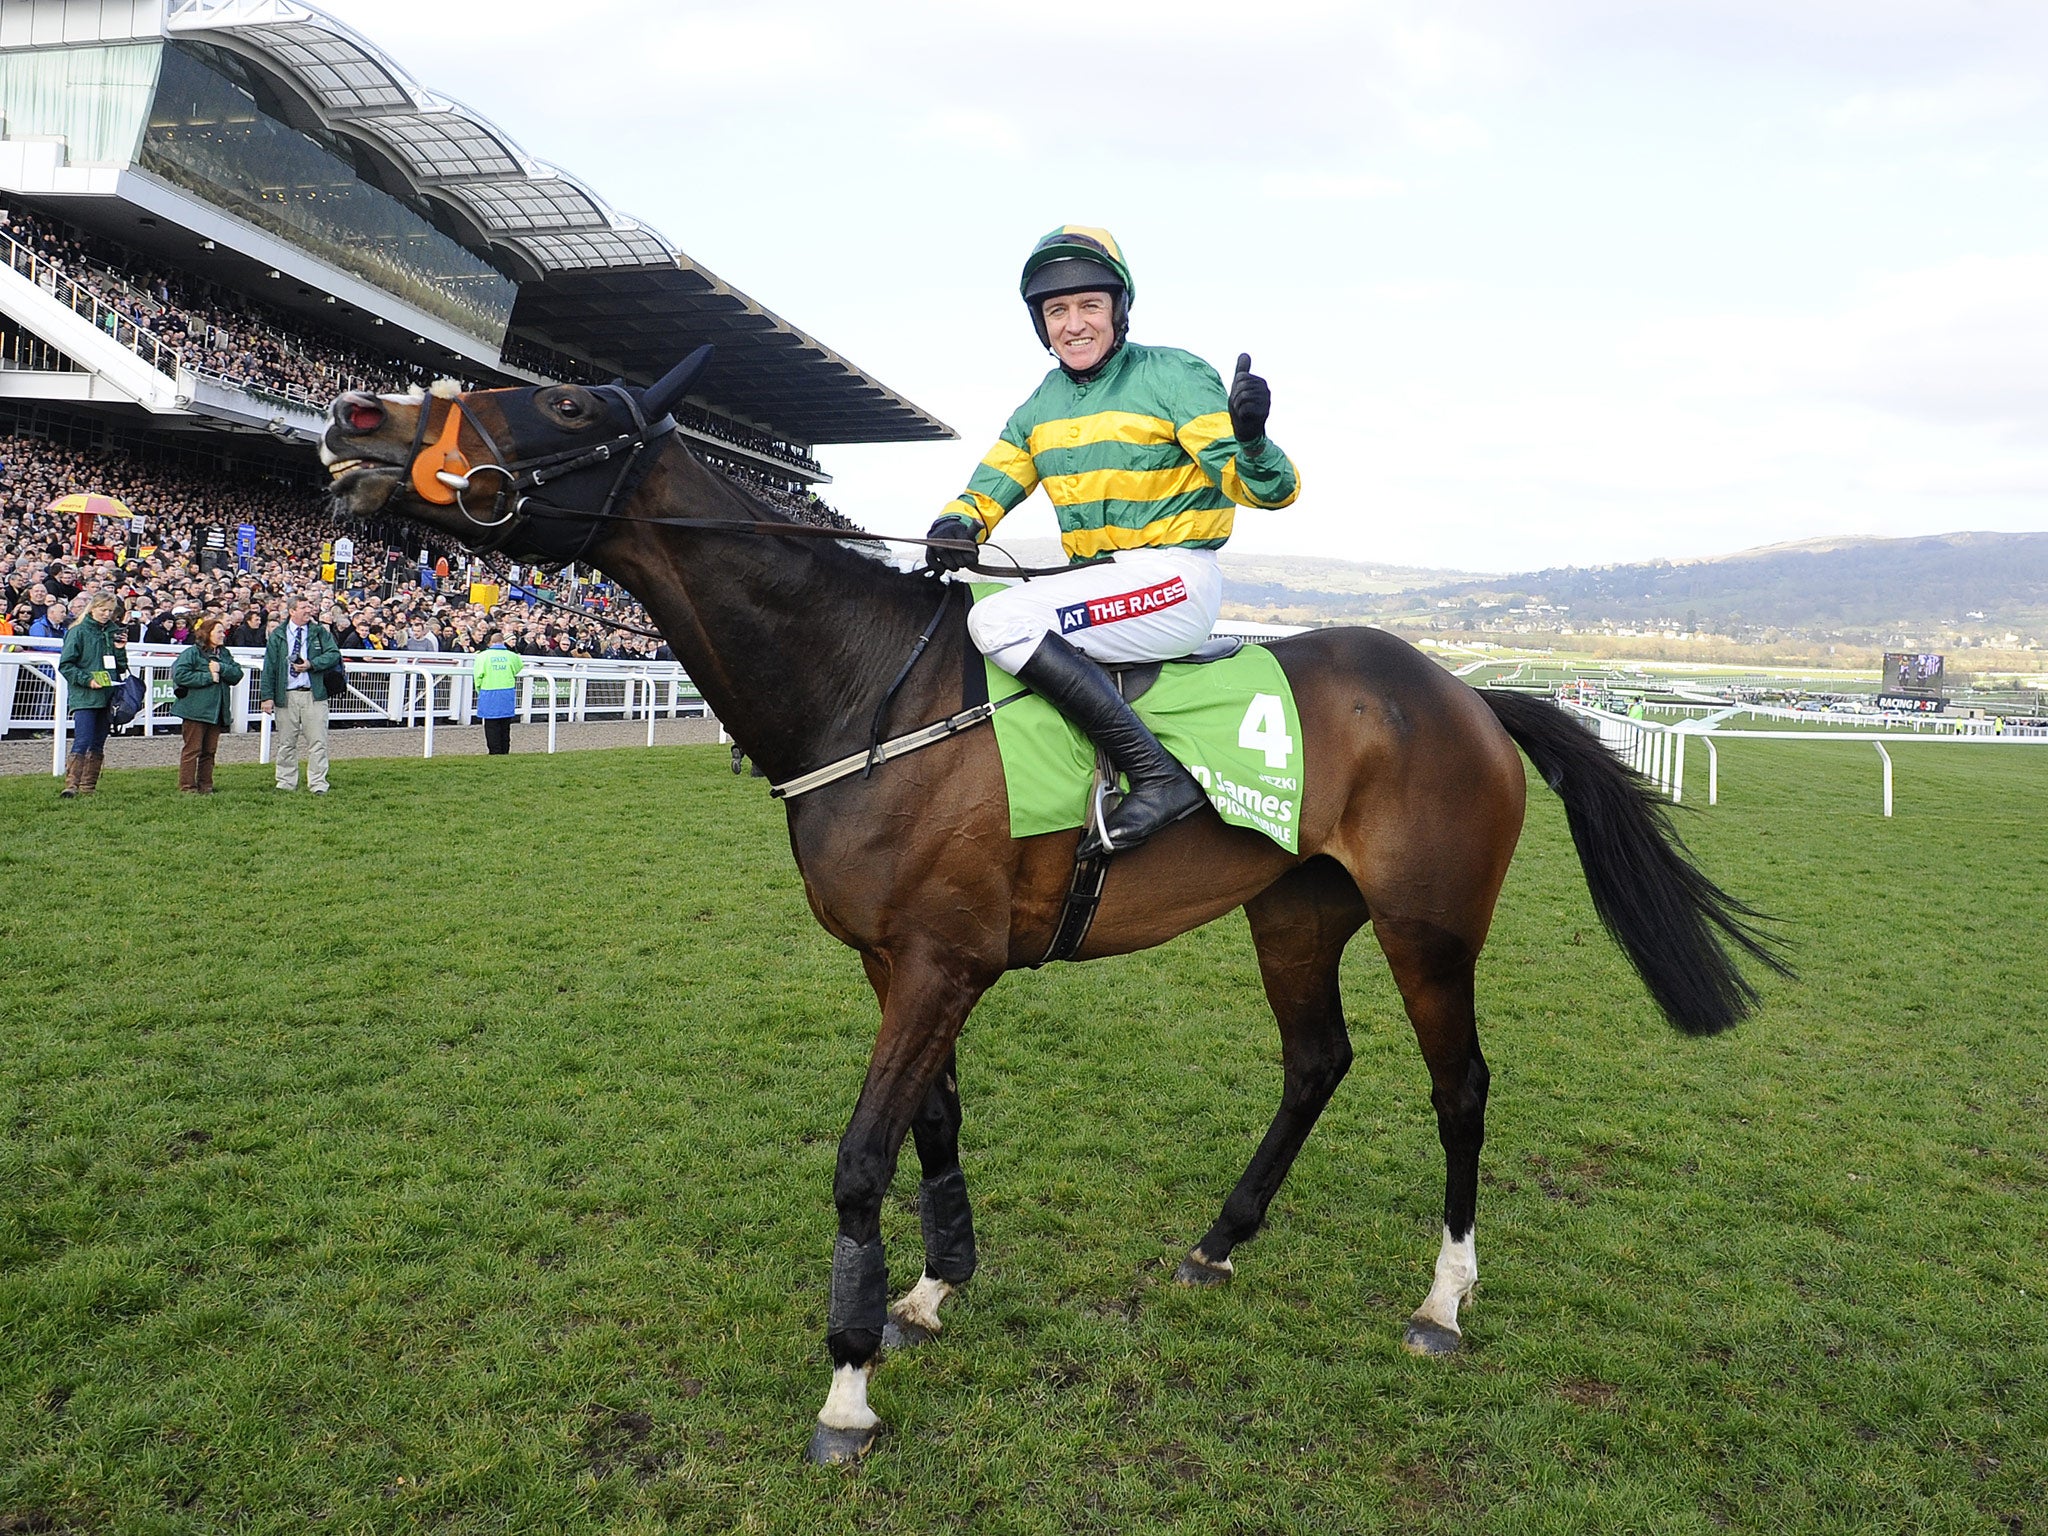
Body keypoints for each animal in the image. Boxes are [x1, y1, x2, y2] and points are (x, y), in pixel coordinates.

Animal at [319, 358, 1777, 1466]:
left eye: (565, 401)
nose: (356, 417)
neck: (868, 686)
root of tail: (1468, 693)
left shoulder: (937, 963)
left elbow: (861, 1156)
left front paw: (846, 1384)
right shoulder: (902, 963)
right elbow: (933, 1125)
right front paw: (933, 1284)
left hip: (1430, 927)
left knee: (1459, 1087)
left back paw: (1442, 1300)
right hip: (1294, 912)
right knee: (1316, 1062)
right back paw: (1217, 1244)